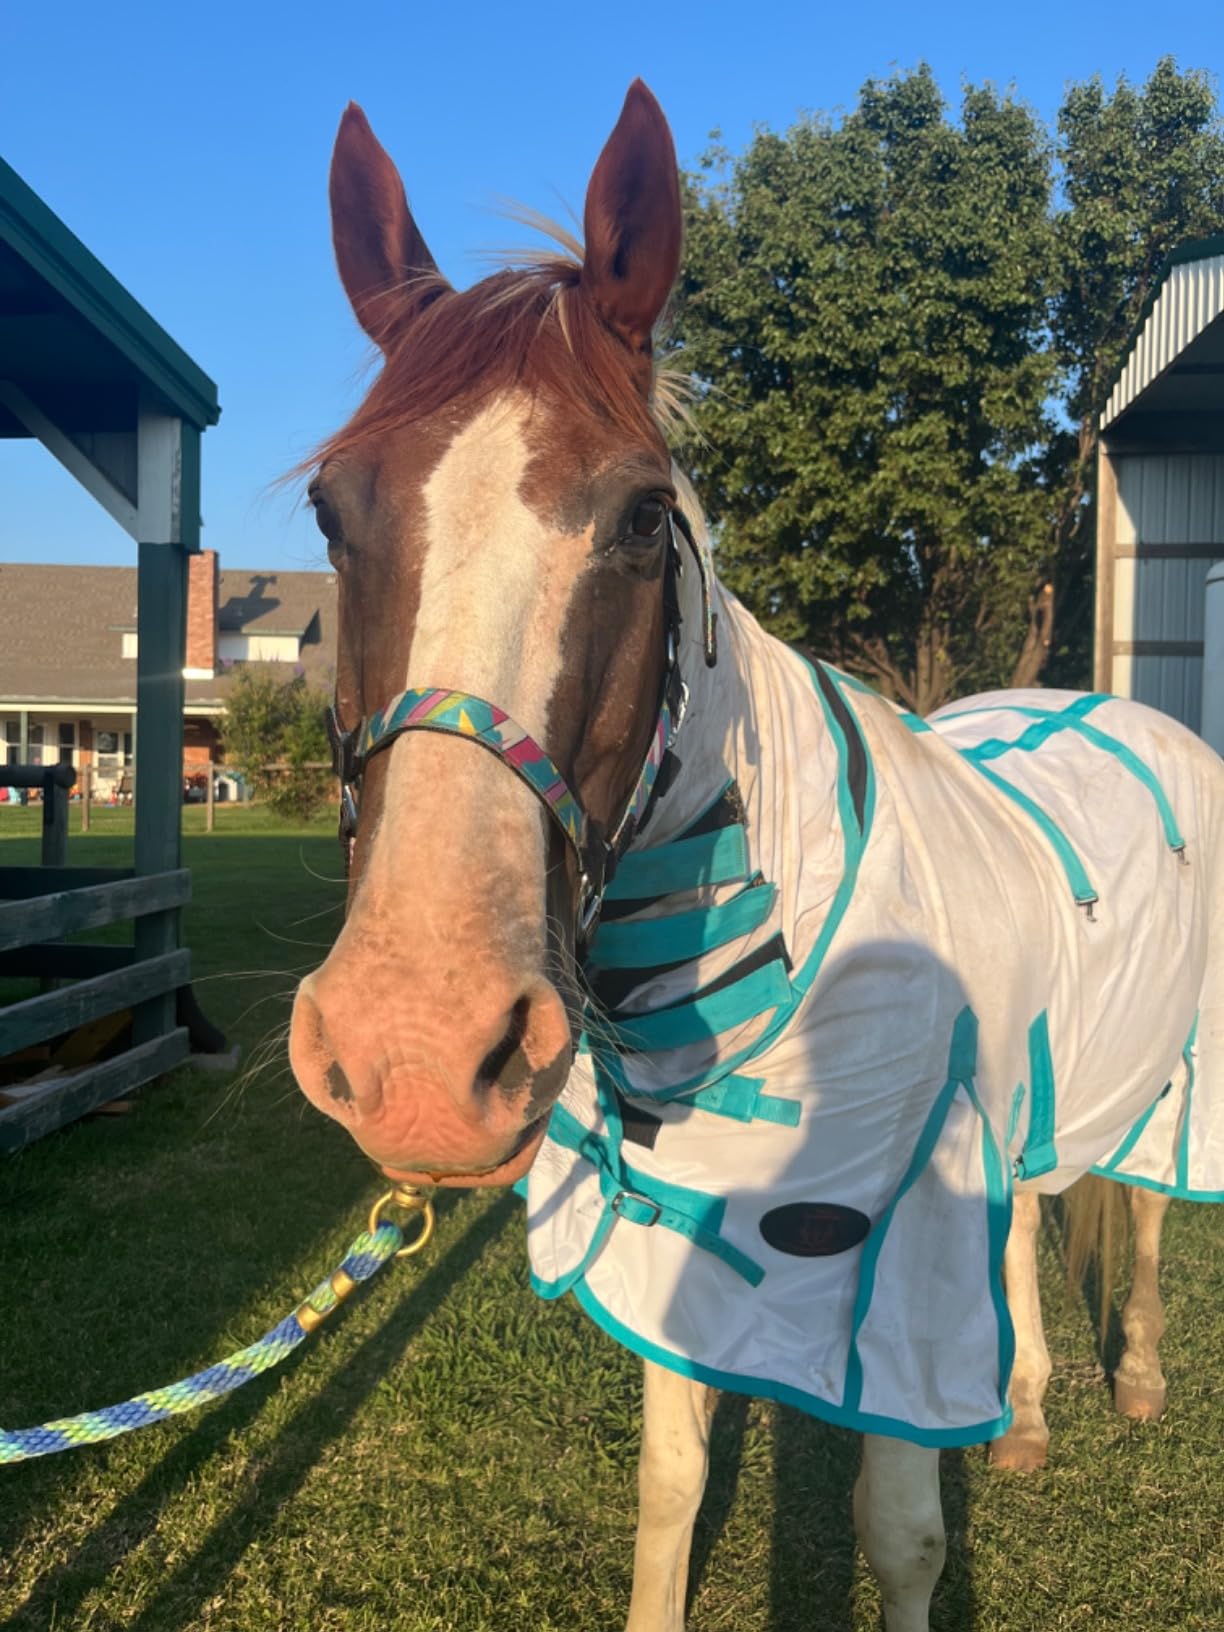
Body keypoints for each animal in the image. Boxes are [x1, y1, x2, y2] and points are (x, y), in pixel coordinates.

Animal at [289, 81, 1224, 1632]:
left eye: (640, 519)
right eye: (331, 514)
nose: (415, 1050)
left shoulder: (892, 1278)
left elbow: (901, 1536)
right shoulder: (679, 1249)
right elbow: (670, 1492)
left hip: (1164, 1072)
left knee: (1137, 1207)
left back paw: (1135, 1373)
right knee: (1030, 1217)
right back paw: (1028, 1408)